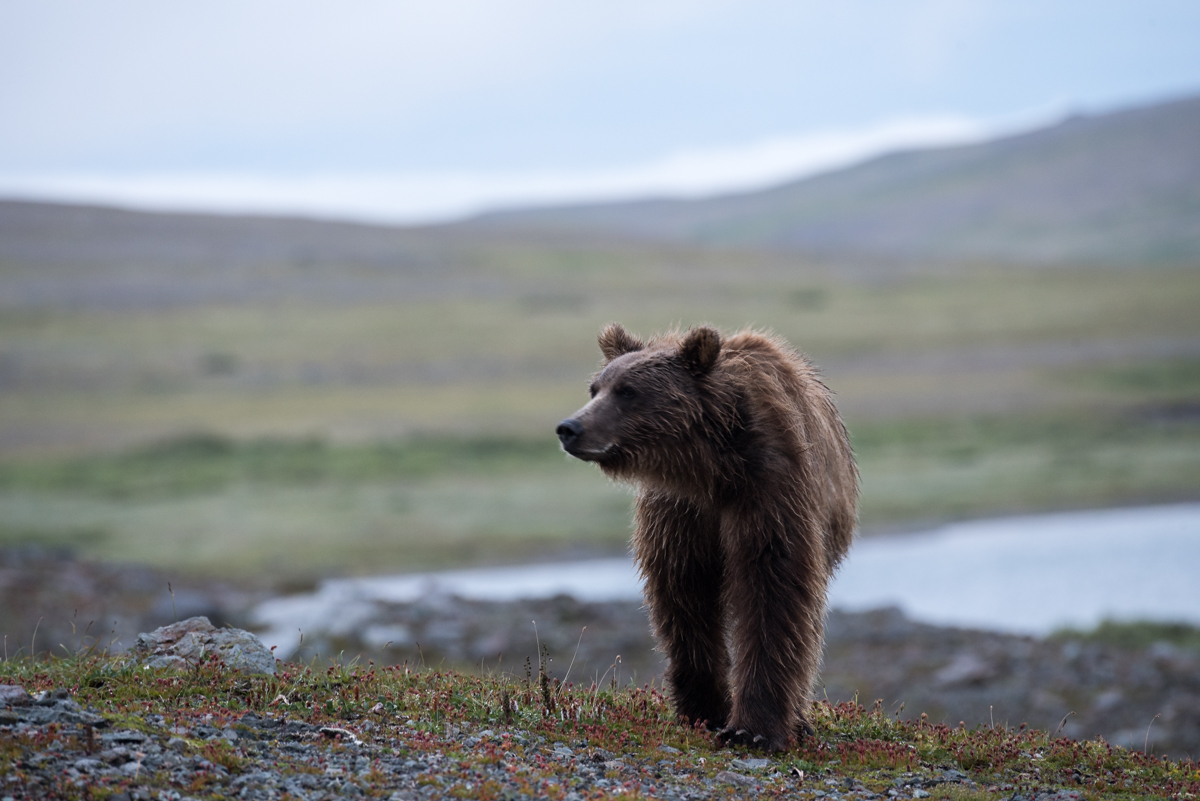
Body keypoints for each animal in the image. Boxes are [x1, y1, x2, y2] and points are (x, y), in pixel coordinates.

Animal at [556, 321, 859, 748]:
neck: (709, 467)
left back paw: (798, 719)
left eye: (628, 391)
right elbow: (684, 595)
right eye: (595, 388)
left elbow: (773, 592)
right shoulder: (680, 513)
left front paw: (752, 729)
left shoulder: (771, 491)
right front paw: (703, 709)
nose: (570, 428)